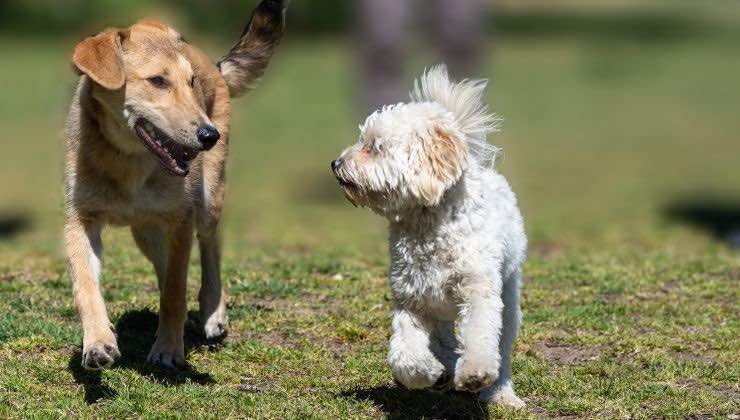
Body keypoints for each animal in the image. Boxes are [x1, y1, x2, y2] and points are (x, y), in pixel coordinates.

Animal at [66, 0, 286, 370]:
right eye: (157, 81)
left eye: (191, 82)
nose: (209, 135)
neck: (128, 161)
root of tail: (213, 64)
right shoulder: (81, 220)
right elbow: (86, 287)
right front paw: (97, 343)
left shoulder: (181, 221)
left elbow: (174, 292)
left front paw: (168, 349)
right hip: (146, 232)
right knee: (165, 265)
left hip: (208, 200)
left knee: (210, 246)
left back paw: (212, 312)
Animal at [330, 65, 528, 406]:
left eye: (374, 146)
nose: (335, 164)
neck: (428, 224)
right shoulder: (412, 300)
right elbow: (404, 355)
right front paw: (428, 373)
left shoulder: (478, 291)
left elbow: (480, 336)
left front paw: (475, 374)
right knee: (445, 338)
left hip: (509, 295)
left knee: (501, 348)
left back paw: (500, 392)